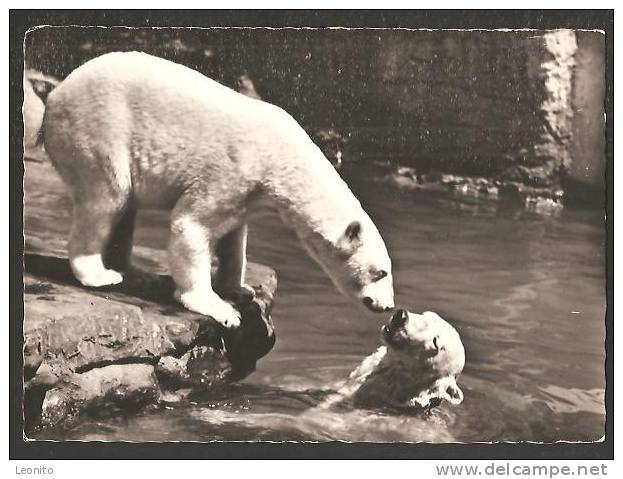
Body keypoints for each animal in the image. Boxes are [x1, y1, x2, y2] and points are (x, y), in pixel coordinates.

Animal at [36, 53, 392, 330]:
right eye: (380, 272)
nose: (387, 306)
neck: (283, 158)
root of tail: (54, 97)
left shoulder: (250, 192)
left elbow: (234, 237)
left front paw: (240, 289)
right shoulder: (232, 170)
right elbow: (192, 225)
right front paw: (220, 309)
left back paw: (133, 272)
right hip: (99, 130)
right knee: (108, 197)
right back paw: (99, 274)